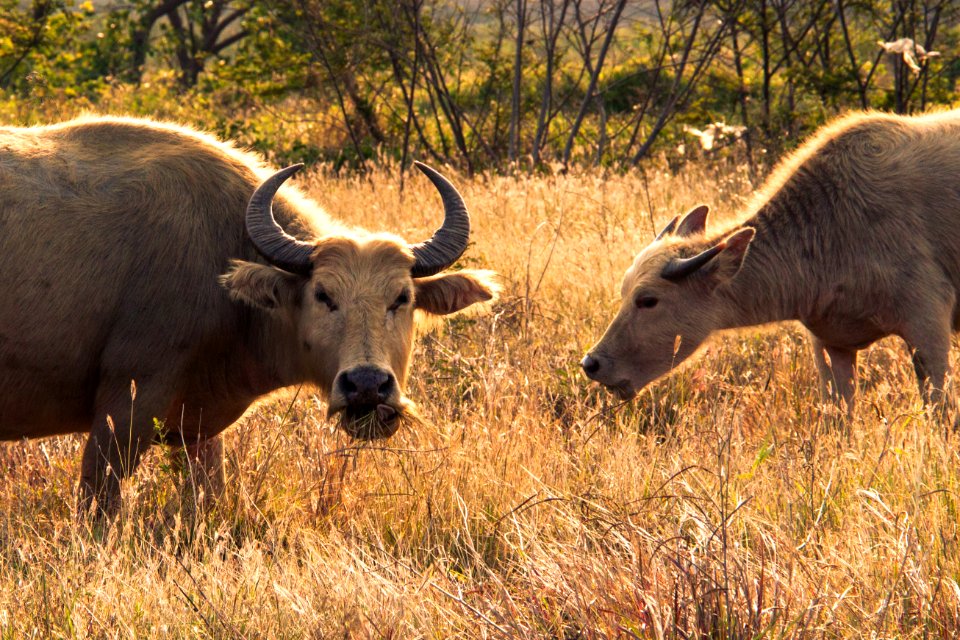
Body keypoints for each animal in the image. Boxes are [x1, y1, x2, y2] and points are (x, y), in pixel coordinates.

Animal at [0, 116, 496, 516]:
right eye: (323, 295)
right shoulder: (123, 409)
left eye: (401, 298)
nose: (367, 387)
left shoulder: (196, 430)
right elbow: (98, 508)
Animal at [580, 109, 960, 416]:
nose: (591, 363)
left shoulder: (927, 329)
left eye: (648, 300)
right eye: (624, 294)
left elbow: (940, 414)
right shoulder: (830, 344)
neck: (831, 228)